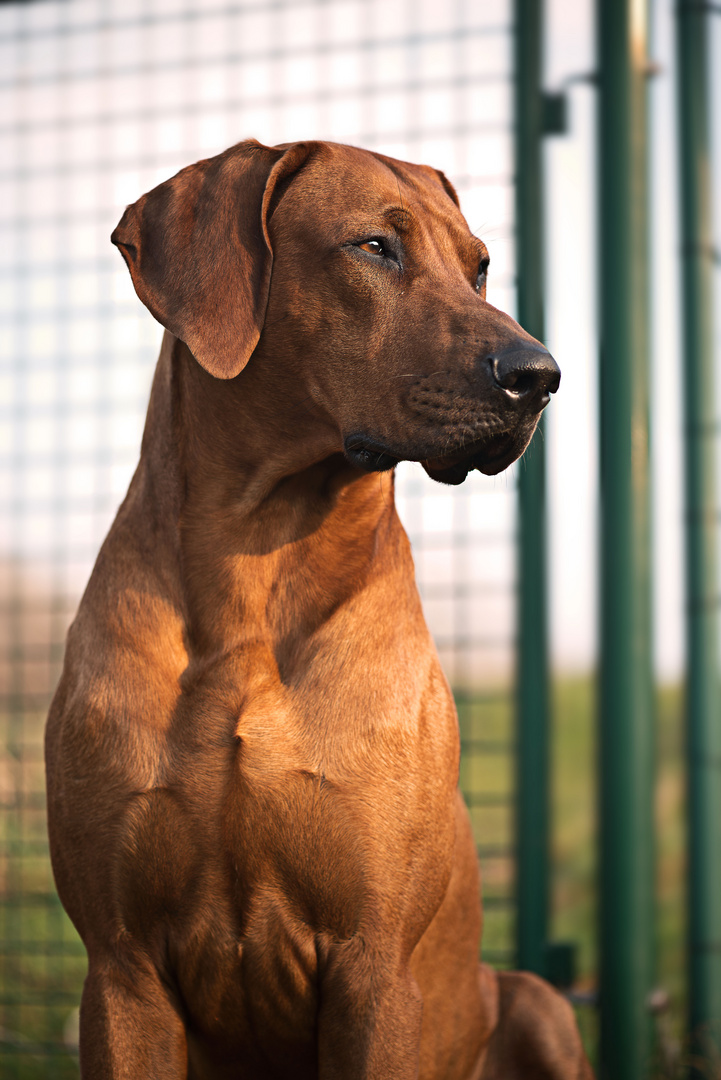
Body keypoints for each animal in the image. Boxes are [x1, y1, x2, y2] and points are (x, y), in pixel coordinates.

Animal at [46, 141, 591, 1080]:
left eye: (479, 267)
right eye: (374, 247)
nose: (540, 376)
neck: (254, 573)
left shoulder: (375, 965)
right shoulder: (120, 969)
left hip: (539, 1001)